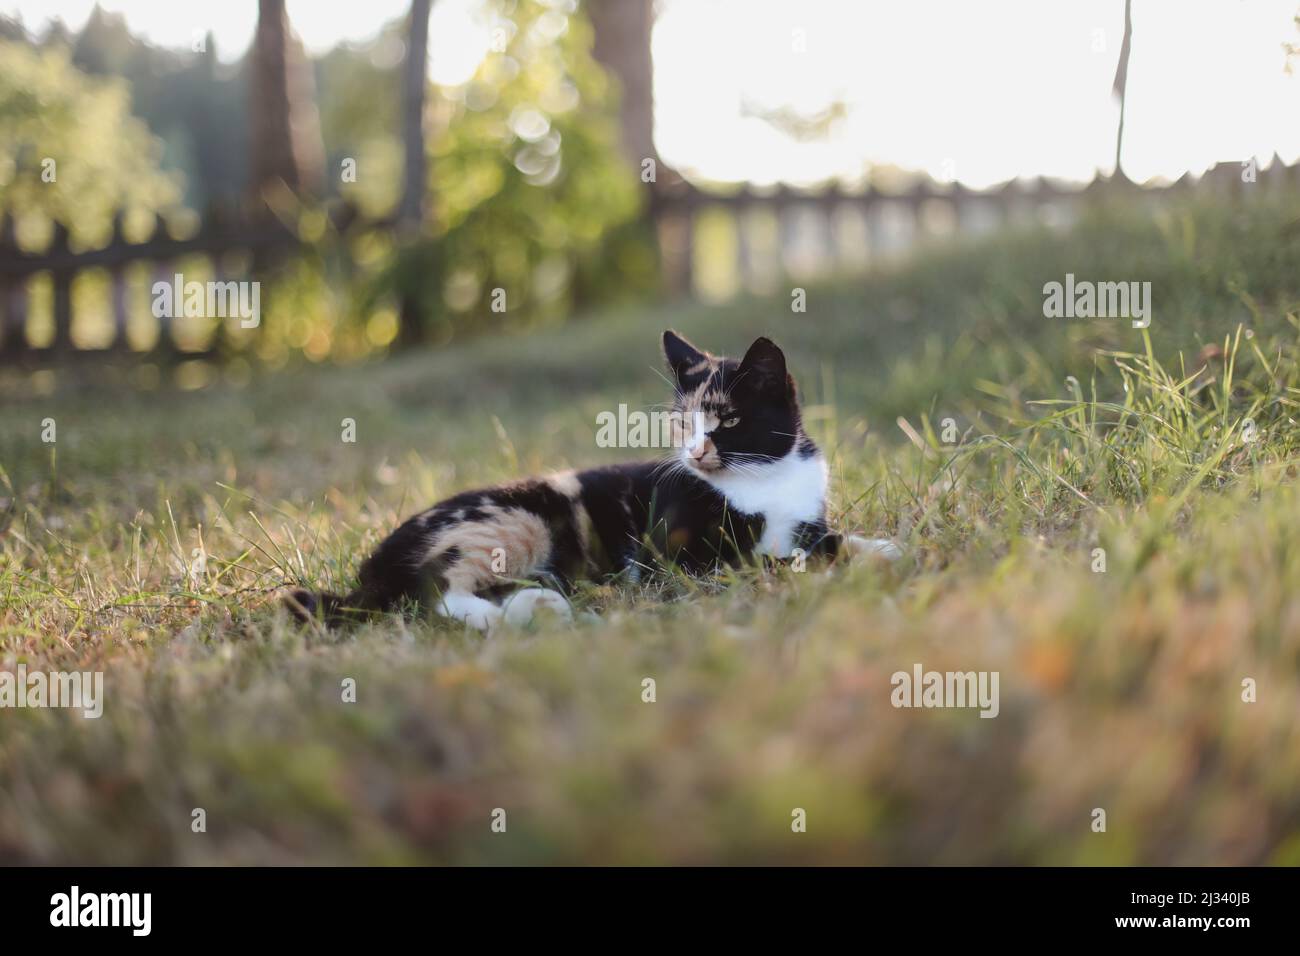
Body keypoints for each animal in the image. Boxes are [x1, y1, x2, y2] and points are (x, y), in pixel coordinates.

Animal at [286, 332, 899, 632]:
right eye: (683, 422)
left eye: (726, 419)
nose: (695, 451)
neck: (762, 477)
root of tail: (374, 563)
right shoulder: (674, 556)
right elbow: (767, 559)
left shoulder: (806, 515)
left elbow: (823, 537)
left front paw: (882, 547)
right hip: (511, 521)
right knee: (435, 589)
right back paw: (513, 615)